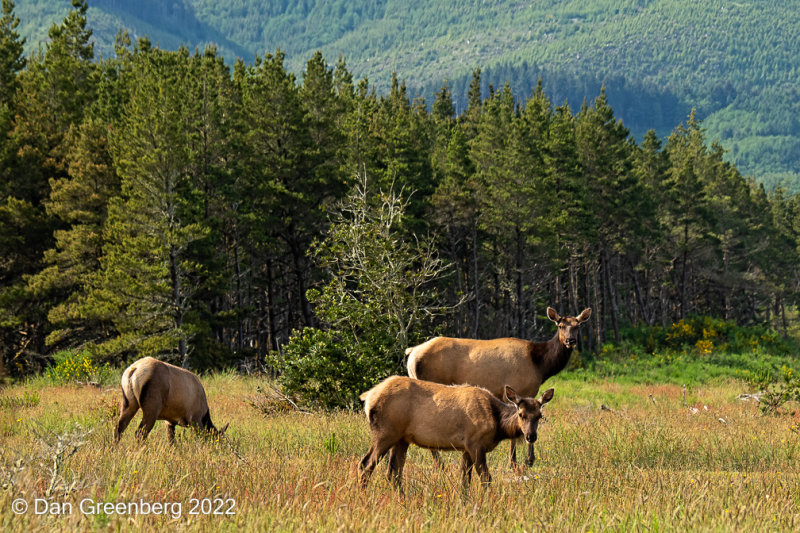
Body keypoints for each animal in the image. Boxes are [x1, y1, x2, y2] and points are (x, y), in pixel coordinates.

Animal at [360, 376, 552, 488]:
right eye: (521, 414)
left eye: (539, 415)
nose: (531, 436)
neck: (497, 423)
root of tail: (368, 398)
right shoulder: (475, 443)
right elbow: (486, 478)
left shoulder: (466, 448)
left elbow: (465, 481)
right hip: (385, 433)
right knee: (366, 464)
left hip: (401, 439)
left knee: (393, 473)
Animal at [406, 306, 588, 468]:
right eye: (560, 325)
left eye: (577, 325)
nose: (570, 340)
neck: (540, 365)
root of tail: (412, 352)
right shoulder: (521, 388)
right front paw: (520, 462)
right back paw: (440, 465)